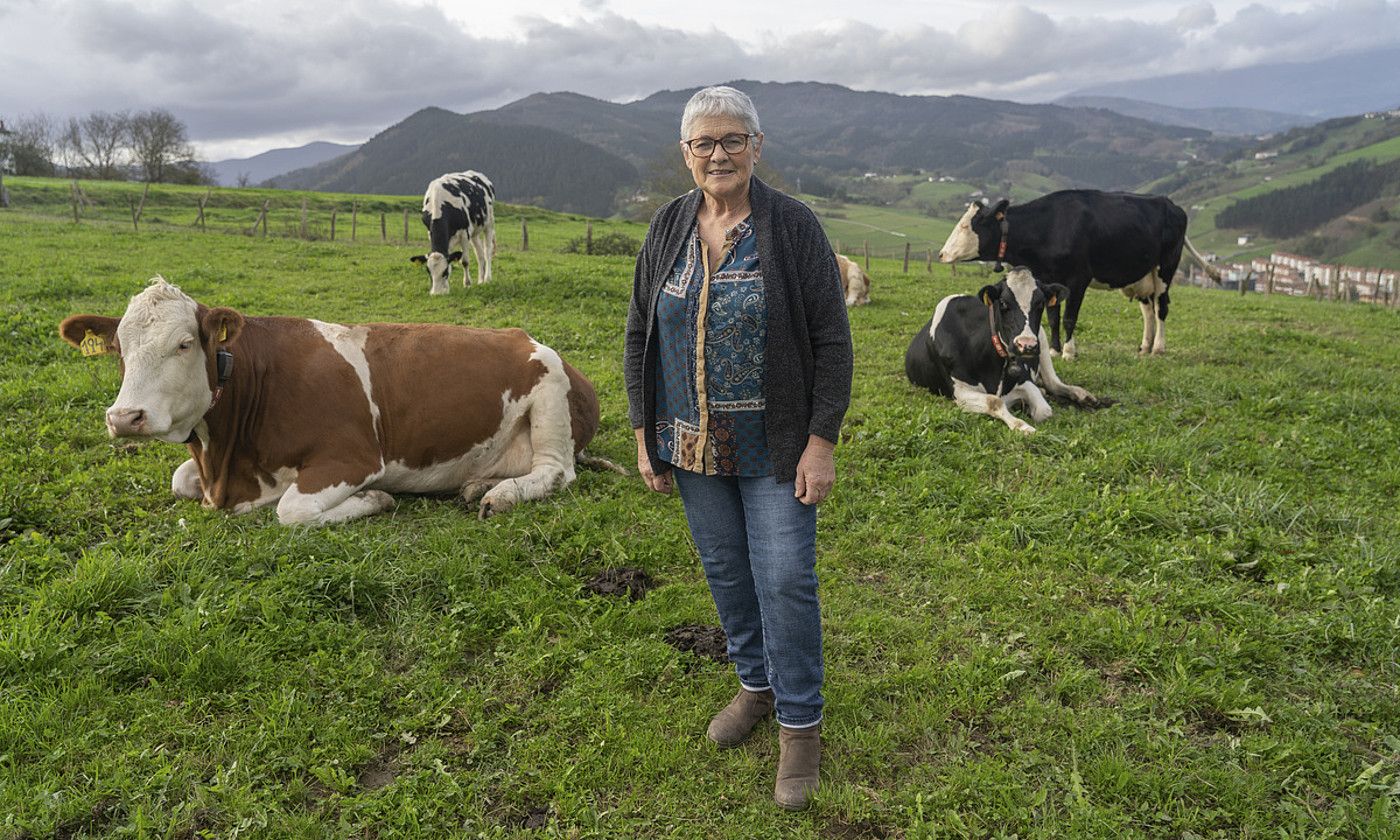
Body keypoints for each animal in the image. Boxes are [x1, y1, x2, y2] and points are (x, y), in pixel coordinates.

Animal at [60, 278, 618, 520]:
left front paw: (375, 500)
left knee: (556, 471)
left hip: (550, 395)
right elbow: (179, 481)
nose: (125, 417)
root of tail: (521, 335)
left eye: (184, 343)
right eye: (119, 350)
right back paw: (481, 482)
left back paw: (502, 494)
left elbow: (292, 510)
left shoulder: (352, 458)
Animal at [907, 267, 1103, 434]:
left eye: (1040, 304)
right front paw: (1022, 426)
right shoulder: (959, 391)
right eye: (1002, 303)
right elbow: (994, 401)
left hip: (1043, 342)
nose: (1026, 345)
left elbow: (1044, 411)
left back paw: (1083, 395)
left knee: (1055, 383)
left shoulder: (1024, 379)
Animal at [935, 189, 1220, 358]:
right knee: (1148, 309)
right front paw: (1053, 350)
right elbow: (1052, 317)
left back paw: (1158, 347)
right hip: (1143, 274)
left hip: (1166, 268)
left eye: (965, 226)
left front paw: (1069, 351)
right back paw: (1145, 346)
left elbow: (1069, 318)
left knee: (1161, 307)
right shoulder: (1048, 279)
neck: (1048, 226)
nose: (941, 254)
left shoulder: (1078, 279)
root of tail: (1171, 204)